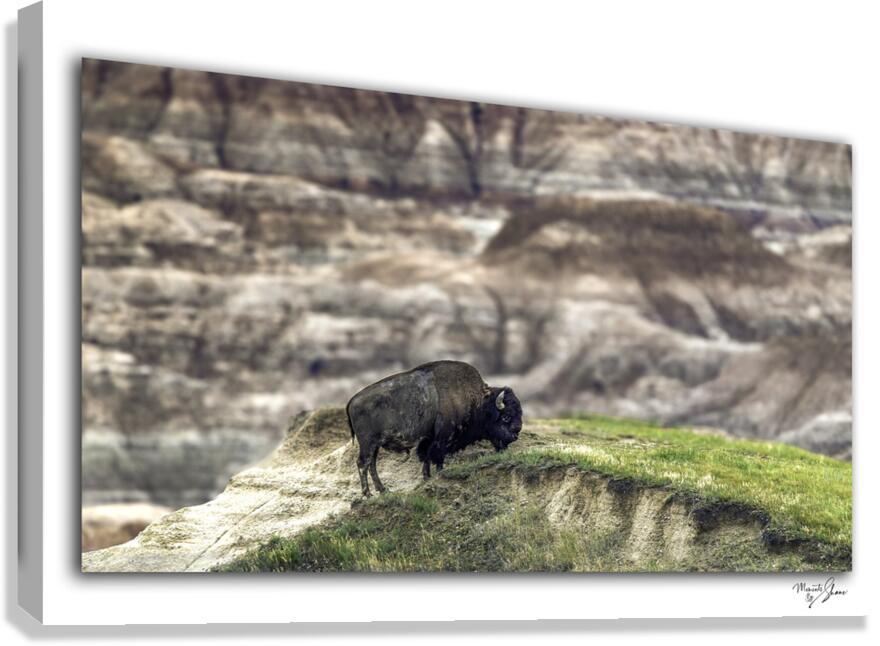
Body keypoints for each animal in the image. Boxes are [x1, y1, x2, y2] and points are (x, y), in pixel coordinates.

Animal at [346, 360, 522, 496]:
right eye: (506, 417)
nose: (515, 434)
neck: (477, 401)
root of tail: (352, 400)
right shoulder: (442, 437)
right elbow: (437, 456)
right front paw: (438, 473)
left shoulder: (429, 438)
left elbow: (426, 456)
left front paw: (427, 477)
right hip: (368, 444)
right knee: (363, 463)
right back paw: (367, 494)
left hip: (375, 445)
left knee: (372, 465)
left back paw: (383, 490)